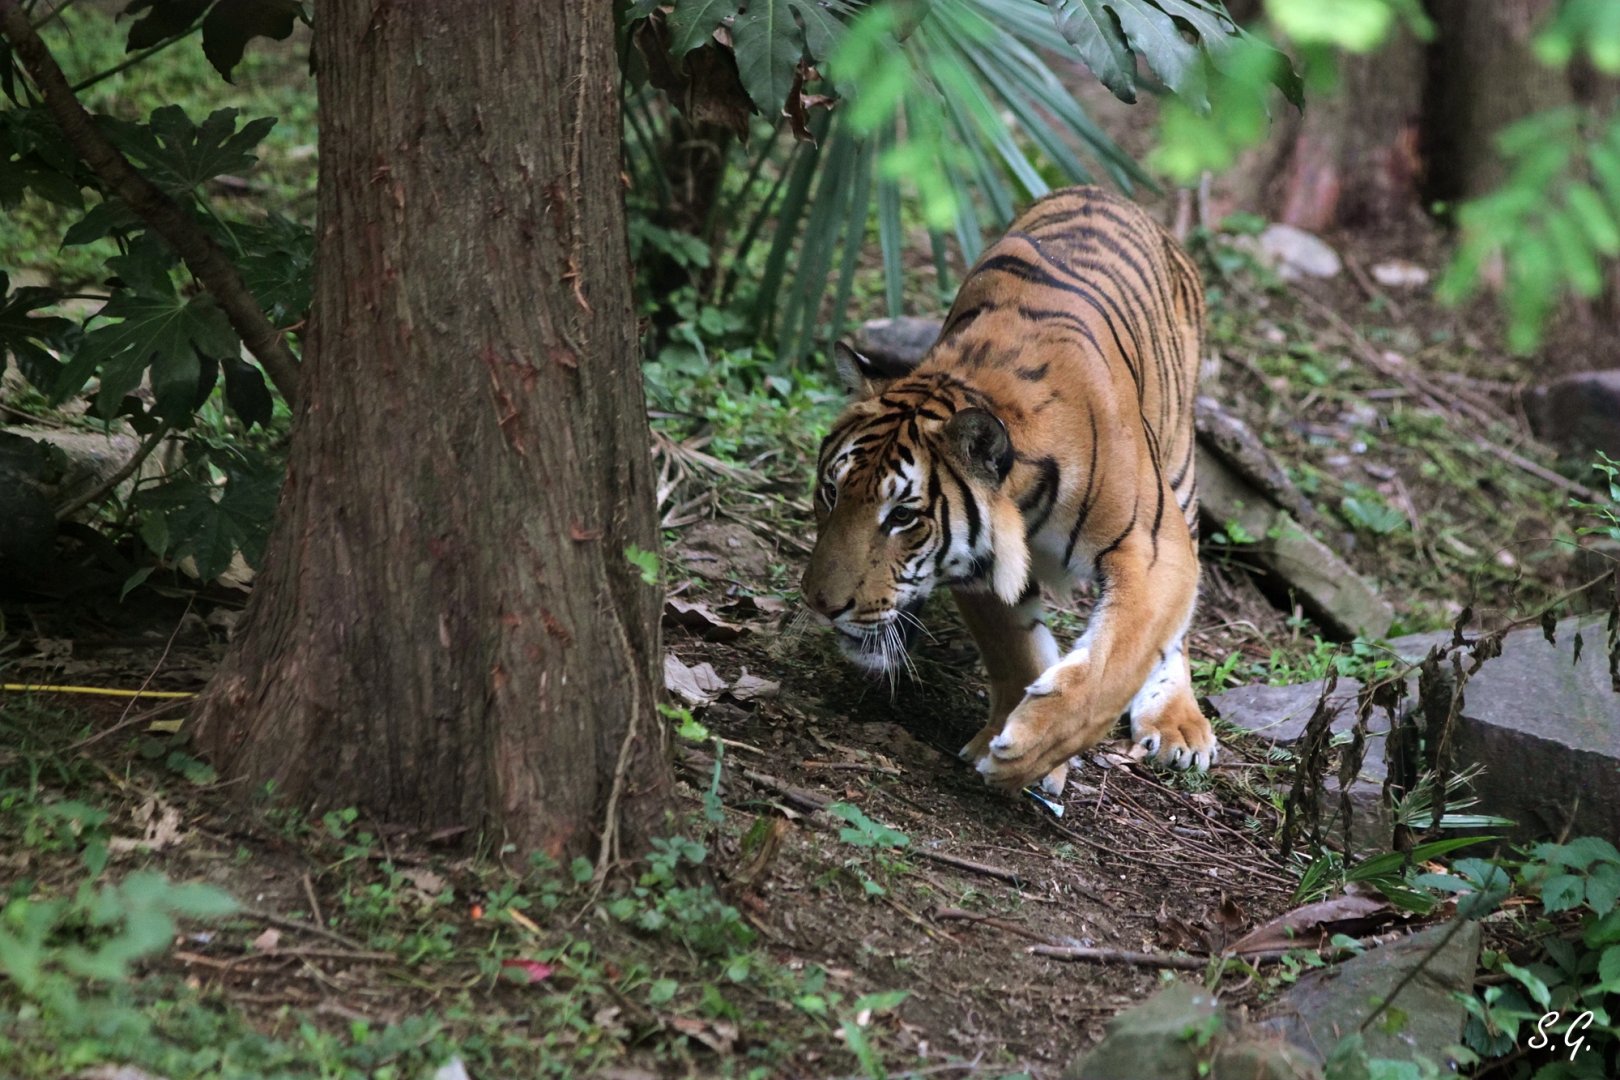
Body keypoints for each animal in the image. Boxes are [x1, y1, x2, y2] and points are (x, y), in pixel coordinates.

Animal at [800, 185, 1216, 797]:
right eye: (831, 493)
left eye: (902, 517)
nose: (821, 605)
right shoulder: (979, 563)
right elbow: (1014, 649)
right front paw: (1007, 742)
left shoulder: (1152, 548)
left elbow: (1118, 660)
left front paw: (1027, 749)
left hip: (1180, 474)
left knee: (1176, 630)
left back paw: (1177, 724)